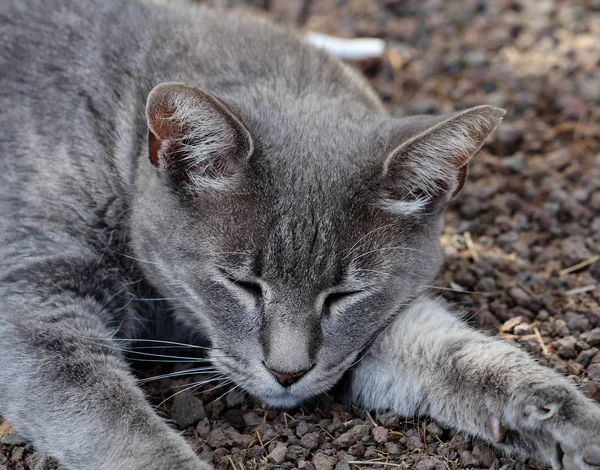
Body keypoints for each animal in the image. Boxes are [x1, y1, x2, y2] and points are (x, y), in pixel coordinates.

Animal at [1, 0, 600, 470]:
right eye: (241, 284)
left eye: (344, 295)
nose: (287, 373)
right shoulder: (36, 295)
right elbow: (112, 419)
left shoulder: (365, 333)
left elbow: (453, 353)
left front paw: (564, 418)